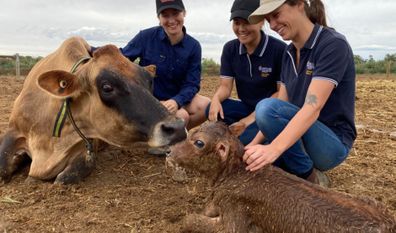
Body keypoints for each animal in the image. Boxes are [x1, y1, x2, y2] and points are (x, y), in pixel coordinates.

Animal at [0, 36, 186, 185]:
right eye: (107, 87)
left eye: (150, 82)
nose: (177, 127)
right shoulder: (13, 131)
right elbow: (3, 168)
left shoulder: (87, 146)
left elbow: (63, 179)